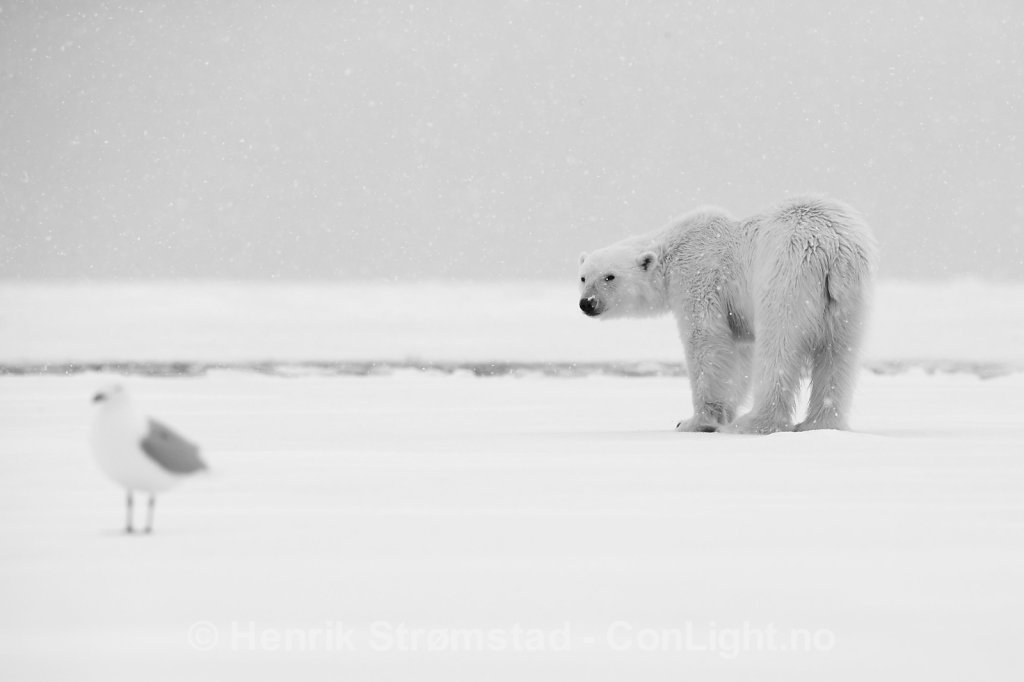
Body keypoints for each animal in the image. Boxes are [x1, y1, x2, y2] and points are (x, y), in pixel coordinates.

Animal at [581, 193, 876, 432]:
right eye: (583, 277)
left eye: (610, 277)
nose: (587, 303)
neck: (675, 246)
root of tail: (833, 246)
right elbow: (739, 354)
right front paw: (722, 412)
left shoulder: (699, 276)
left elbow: (706, 340)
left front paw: (695, 422)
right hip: (850, 296)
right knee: (840, 352)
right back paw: (819, 424)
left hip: (787, 276)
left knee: (778, 347)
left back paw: (754, 422)